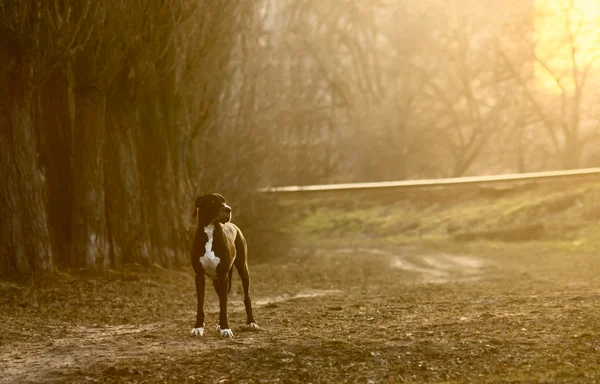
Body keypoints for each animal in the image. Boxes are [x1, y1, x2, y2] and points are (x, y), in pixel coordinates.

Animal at [190, 194, 258, 338]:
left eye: (224, 201)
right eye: (213, 201)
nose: (228, 209)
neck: (210, 230)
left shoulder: (223, 277)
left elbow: (224, 305)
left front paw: (225, 328)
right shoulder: (199, 277)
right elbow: (201, 304)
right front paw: (198, 327)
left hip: (243, 270)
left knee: (246, 297)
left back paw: (251, 322)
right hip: (217, 281)